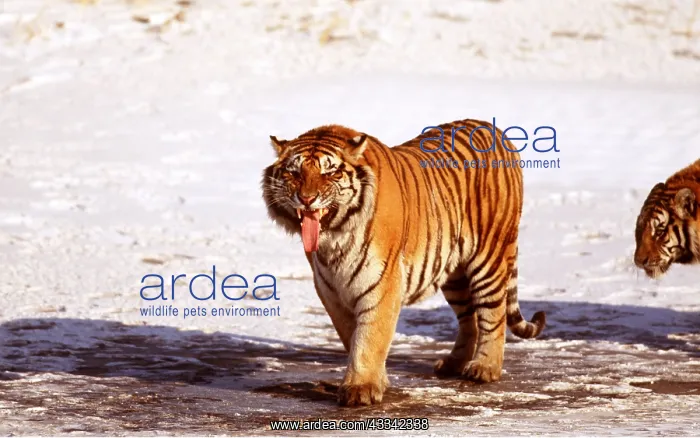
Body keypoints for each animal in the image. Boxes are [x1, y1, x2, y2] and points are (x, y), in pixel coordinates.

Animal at [261, 119, 546, 407]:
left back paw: (485, 368)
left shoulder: (381, 283)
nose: (307, 198)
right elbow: (352, 335)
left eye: (329, 173)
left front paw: (360, 388)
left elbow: (369, 337)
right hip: (453, 274)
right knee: (470, 320)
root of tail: (495, 130)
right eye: (294, 173)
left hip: (488, 257)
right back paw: (453, 364)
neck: (335, 236)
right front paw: (377, 380)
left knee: (493, 314)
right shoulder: (330, 290)